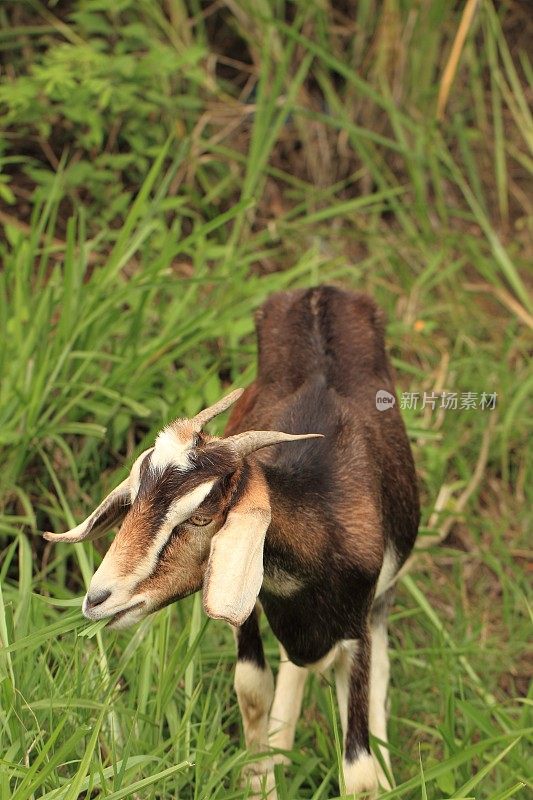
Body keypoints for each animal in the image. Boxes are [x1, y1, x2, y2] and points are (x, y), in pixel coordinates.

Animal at [45, 284, 418, 796]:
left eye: (203, 514)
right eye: (136, 496)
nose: (98, 598)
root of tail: (320, 290)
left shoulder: (355, 630)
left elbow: (358, 772)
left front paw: (373, 773)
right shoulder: (249, 601)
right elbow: (251, 688)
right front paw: (260, 775)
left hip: (383, 597)